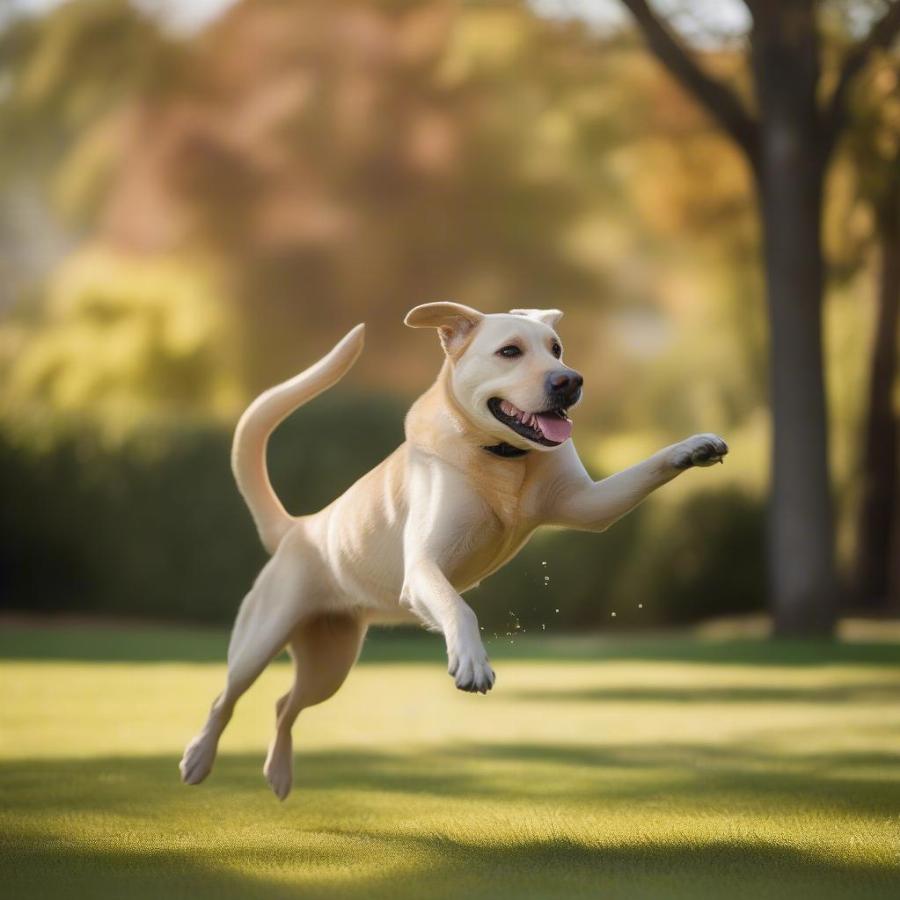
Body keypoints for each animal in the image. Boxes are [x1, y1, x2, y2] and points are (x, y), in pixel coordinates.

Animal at [179, 306, 728, 800]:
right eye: (509, 351)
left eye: (556, 349)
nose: (571, 380)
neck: (501, 458)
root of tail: (299, 528)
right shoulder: (424, 568)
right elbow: (458, 607)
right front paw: (472, 662)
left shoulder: (590, 506)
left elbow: (646, 469)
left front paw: (695, 447)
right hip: (261, 639)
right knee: (224, 698)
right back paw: (198, 759)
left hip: (329, 665)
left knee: (283, 705)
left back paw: (278, 774)